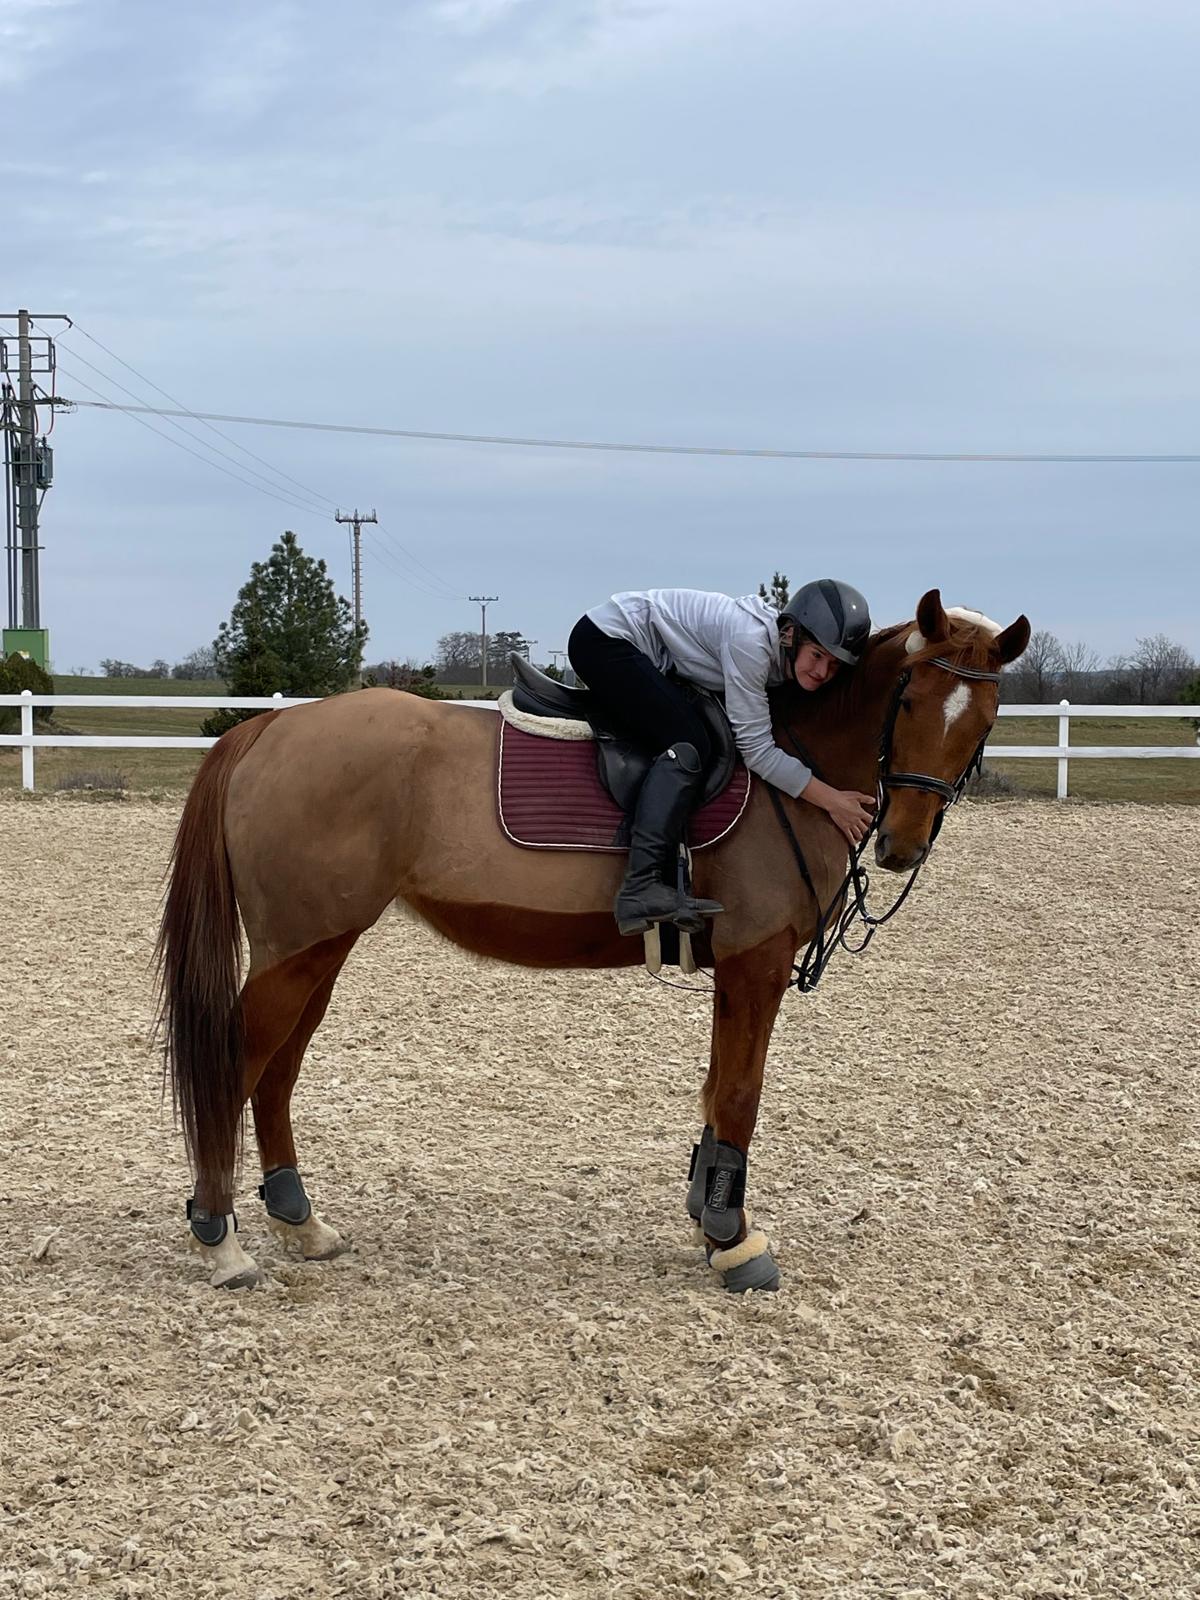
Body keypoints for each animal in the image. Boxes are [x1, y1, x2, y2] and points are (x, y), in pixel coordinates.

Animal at [157, 588, 1029, 1292]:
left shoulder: (735, 969)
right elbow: (740, 1095)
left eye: (984, 721)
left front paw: (709, 1219)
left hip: (318, 947)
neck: (795, 767)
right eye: (909, 702)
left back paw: (298, 1222)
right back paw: (219, 1238)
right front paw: (734, 1242)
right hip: (297, 951)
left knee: (276, 1073)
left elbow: (717, 1087)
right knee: (239, 1064)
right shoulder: (757, 961)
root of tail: (272, 727)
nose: (901, 845)